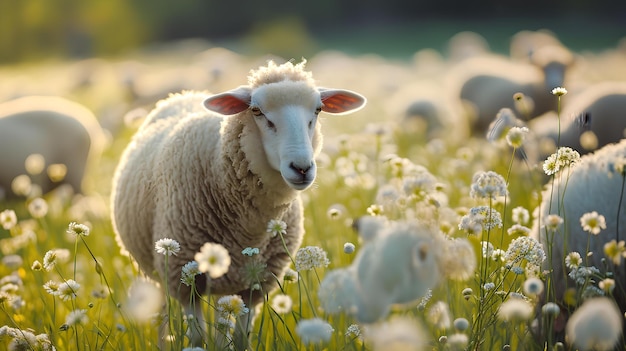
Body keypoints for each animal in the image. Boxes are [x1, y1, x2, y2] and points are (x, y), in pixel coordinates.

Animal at [109, 60, 366, 350]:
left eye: (318, 110)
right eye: (256, 110)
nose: (301, 168)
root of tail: (185, 93)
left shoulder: (255, 284)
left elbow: (242, 339)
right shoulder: (185, 278)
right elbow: (197, 338)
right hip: (162, 264)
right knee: (163, 312)